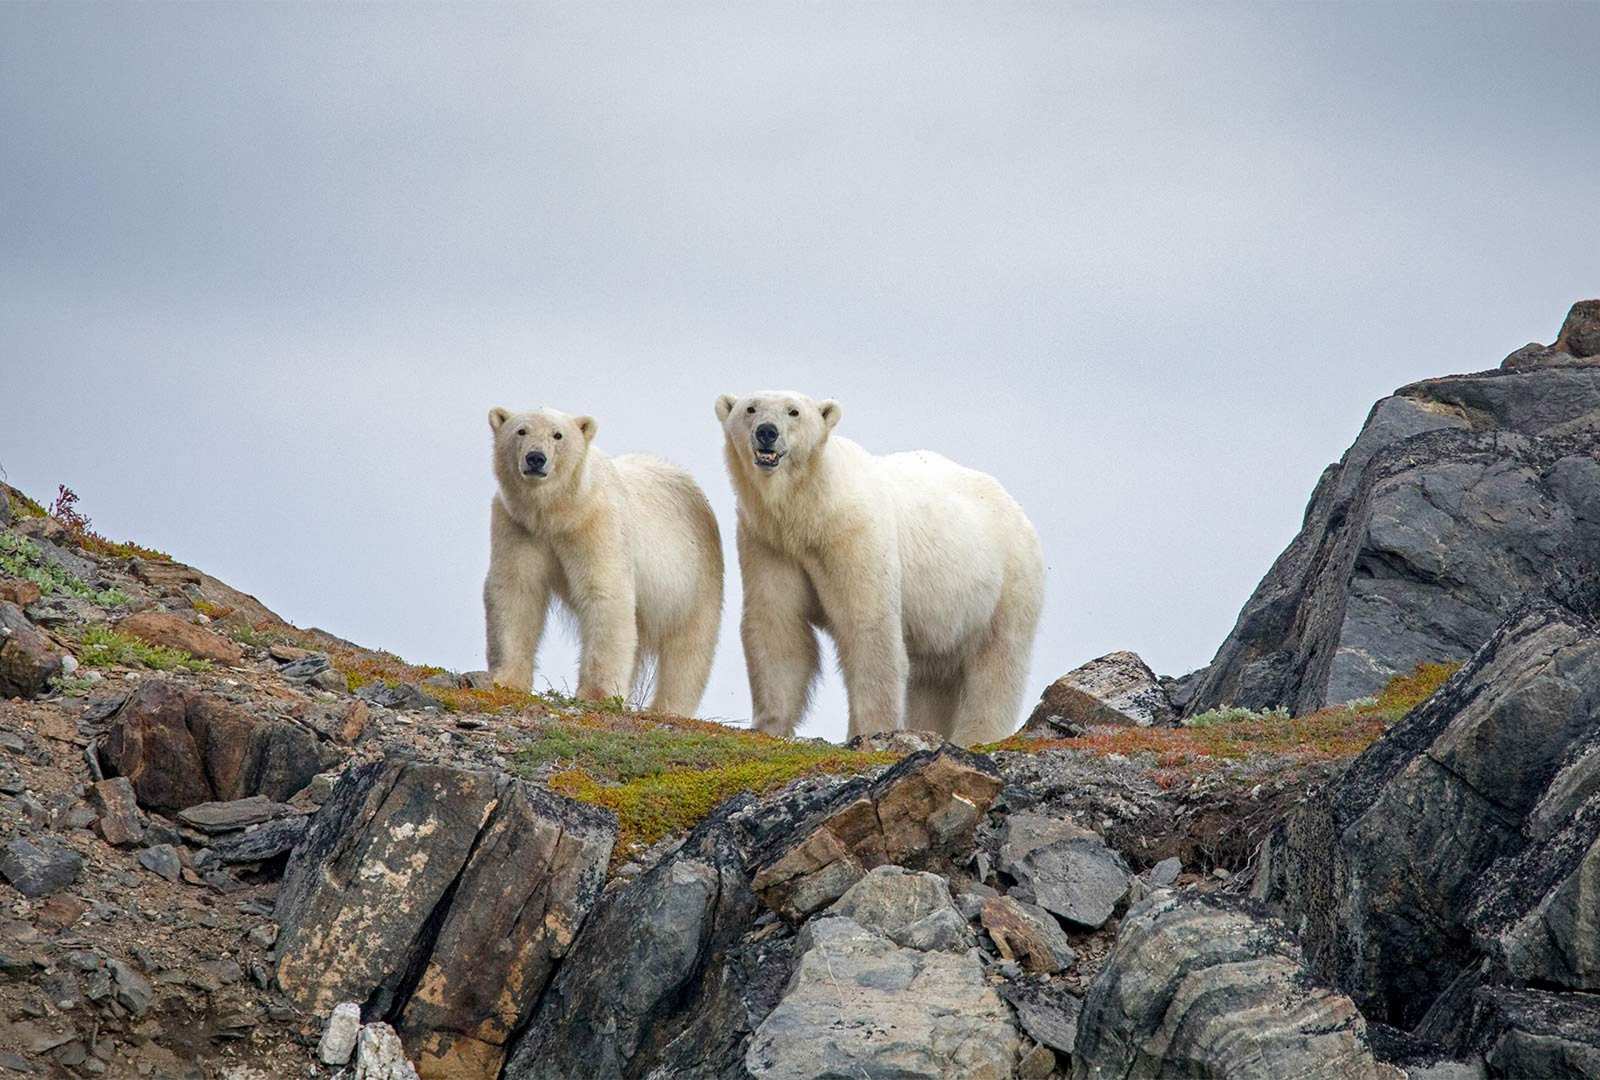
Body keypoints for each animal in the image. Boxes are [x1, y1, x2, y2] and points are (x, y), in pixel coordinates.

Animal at [484, 406, 723, 716]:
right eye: (520, 431)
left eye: (558, 435)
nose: (536, 458)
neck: (557, 513)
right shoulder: (518, 525)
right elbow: (516, 591)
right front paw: (506, 680)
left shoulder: (597, 524)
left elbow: (605, 594)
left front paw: (596, 694)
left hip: (695, 577)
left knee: (689, 648)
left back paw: (668, 708)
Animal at [715, 390, 1044, 745]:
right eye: (750, 408)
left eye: (794, 412)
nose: (766, 432)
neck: (811, 511)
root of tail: (1016, 508)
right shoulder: (769, 543)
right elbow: (777, 623)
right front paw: (769, 725)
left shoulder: (854, 534)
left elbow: (869, 627)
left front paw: (870, 731)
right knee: (933, 679)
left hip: (1007, 584)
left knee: (997, 664)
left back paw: (976, 736)